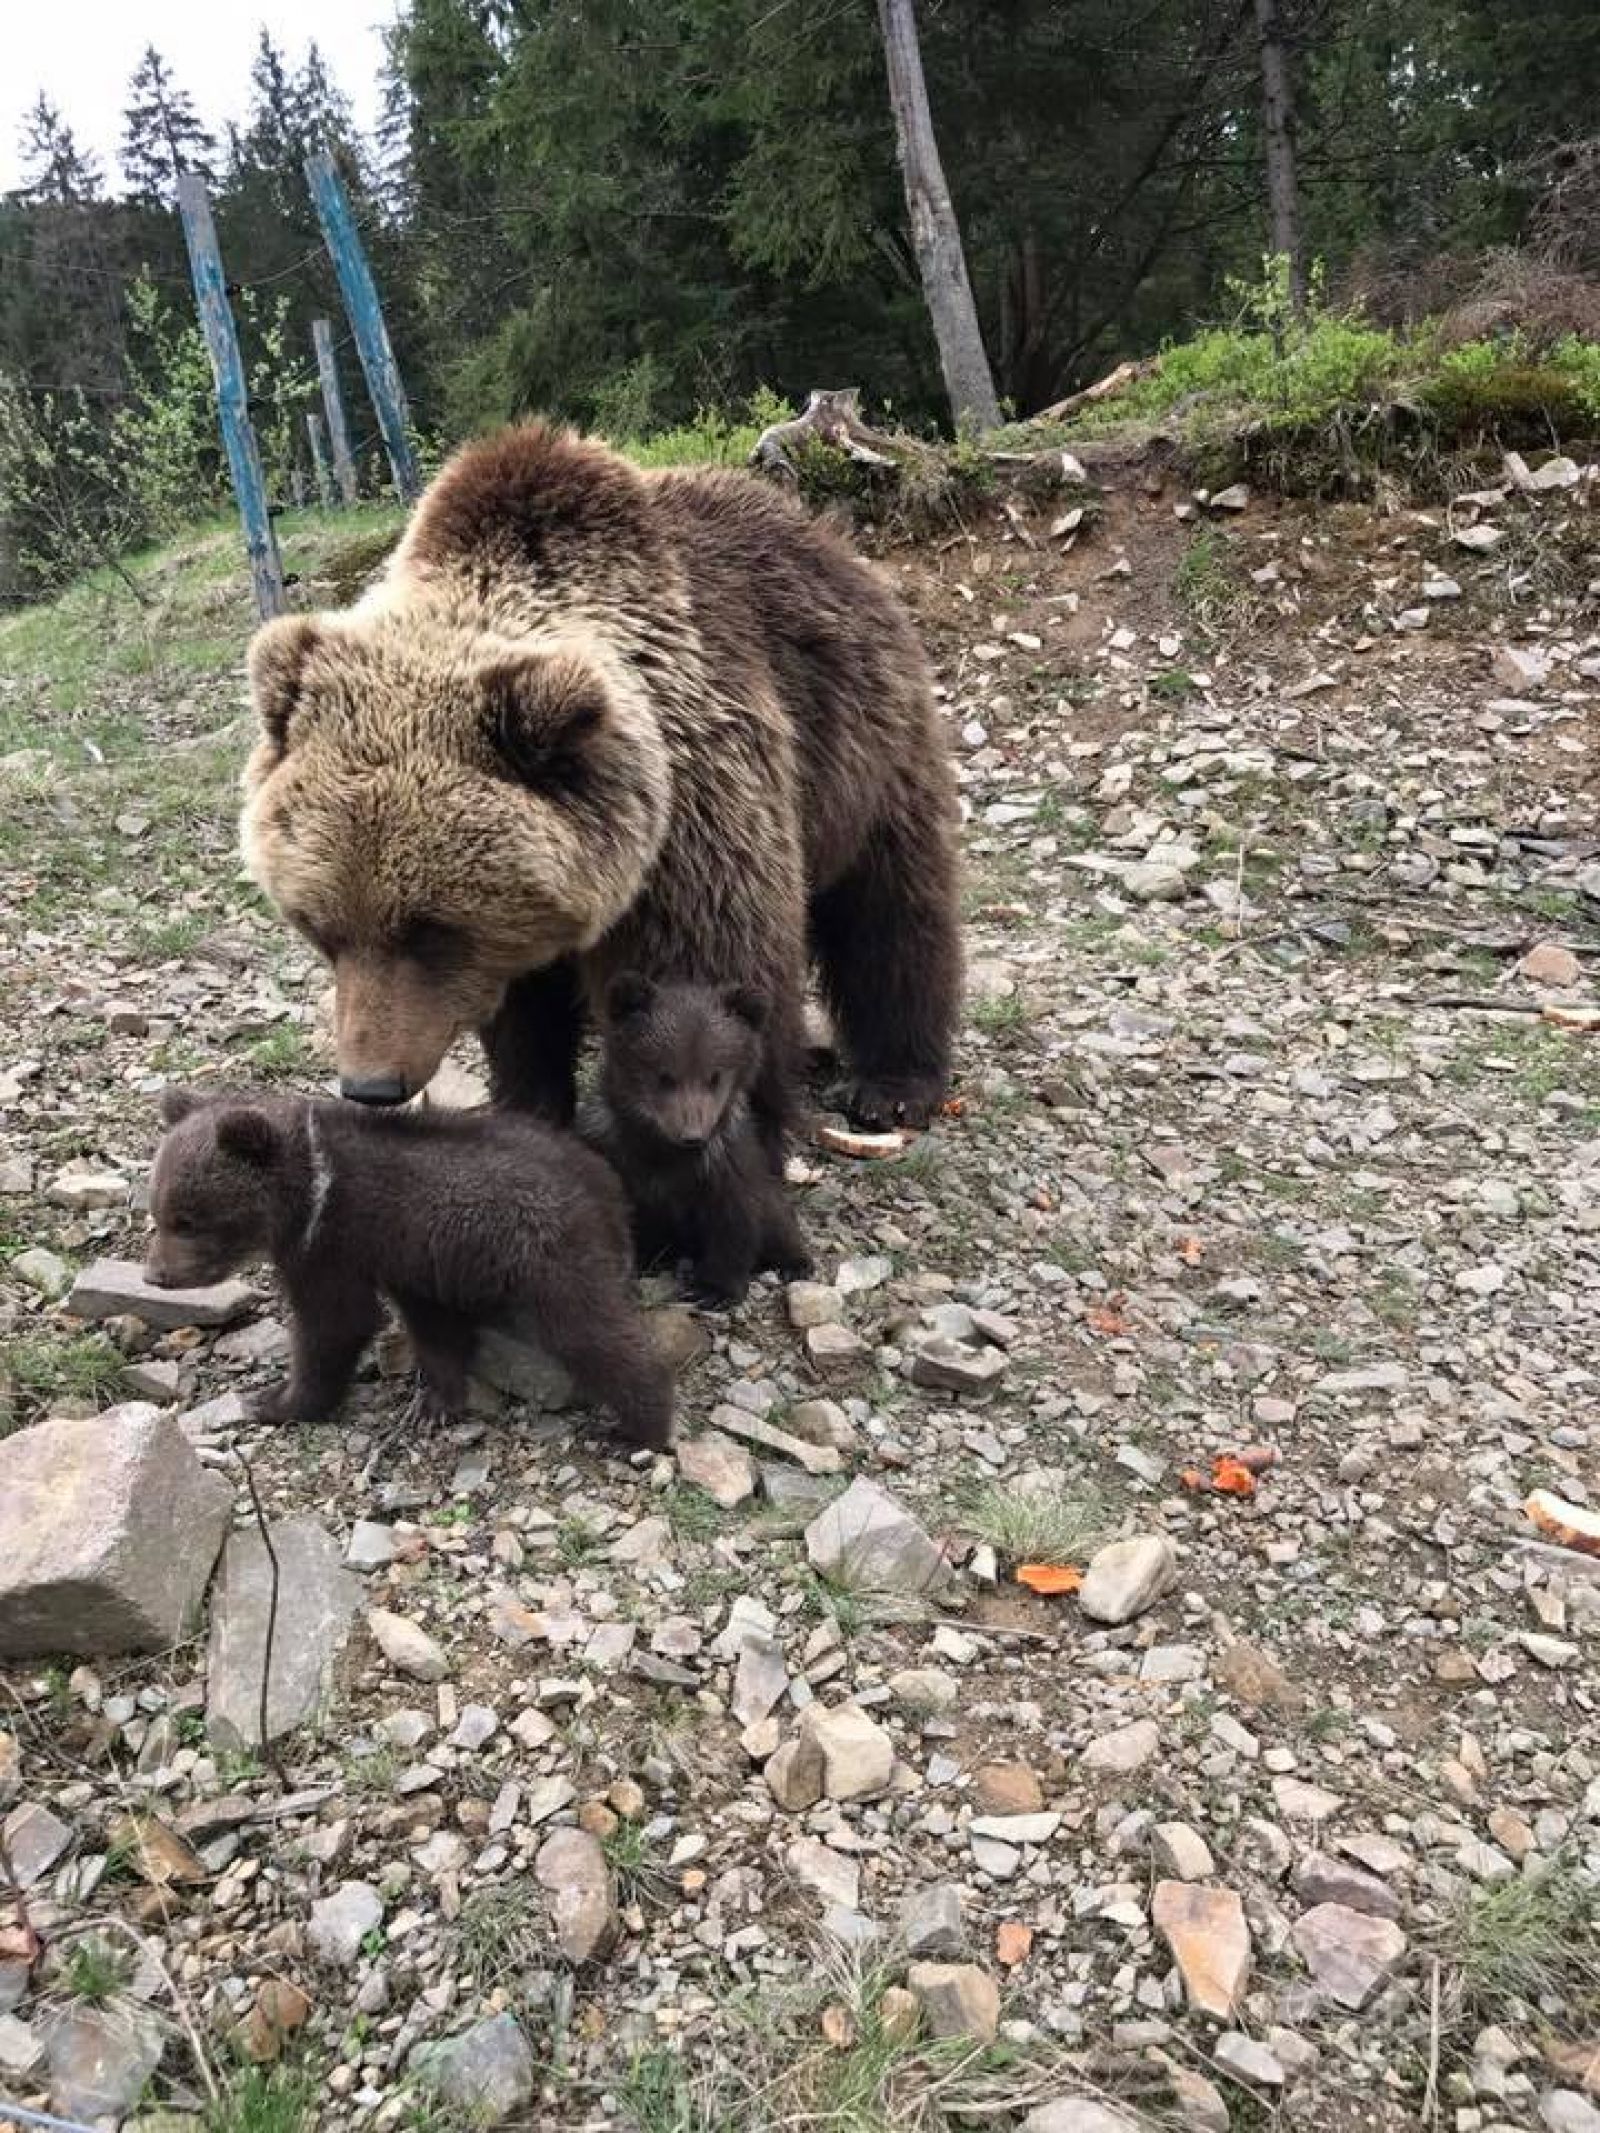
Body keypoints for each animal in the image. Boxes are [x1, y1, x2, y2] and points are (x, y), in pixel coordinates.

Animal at [240, 420, 964, 1151]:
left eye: (431, 930)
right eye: (319, 928)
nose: (371, 1085)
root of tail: (827, 538)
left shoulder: (694, 820)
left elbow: (712, 979)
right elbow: (522, 1018)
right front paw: (529, 1106)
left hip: (860, 743)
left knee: (891, 909)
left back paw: (894, 1083)